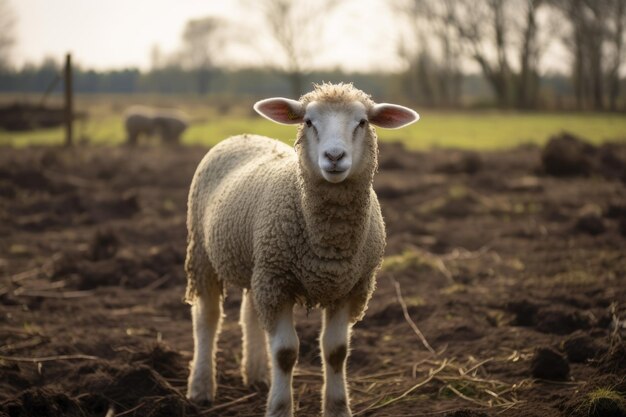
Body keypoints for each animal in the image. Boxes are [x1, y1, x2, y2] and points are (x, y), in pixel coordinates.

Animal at [184, 82, 420, 416]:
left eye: (362, 122)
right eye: (309, 122)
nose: (334, 156)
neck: (328, 246)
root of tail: (244, 135)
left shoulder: (351, 286)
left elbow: (336, 351)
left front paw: (338, 408)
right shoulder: (278, 281)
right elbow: (285, 352)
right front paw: (280, 407)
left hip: (258, 263)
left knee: (249, 313)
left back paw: (257, 374)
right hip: (204, 253)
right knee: (207, 317)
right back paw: (202, 387)